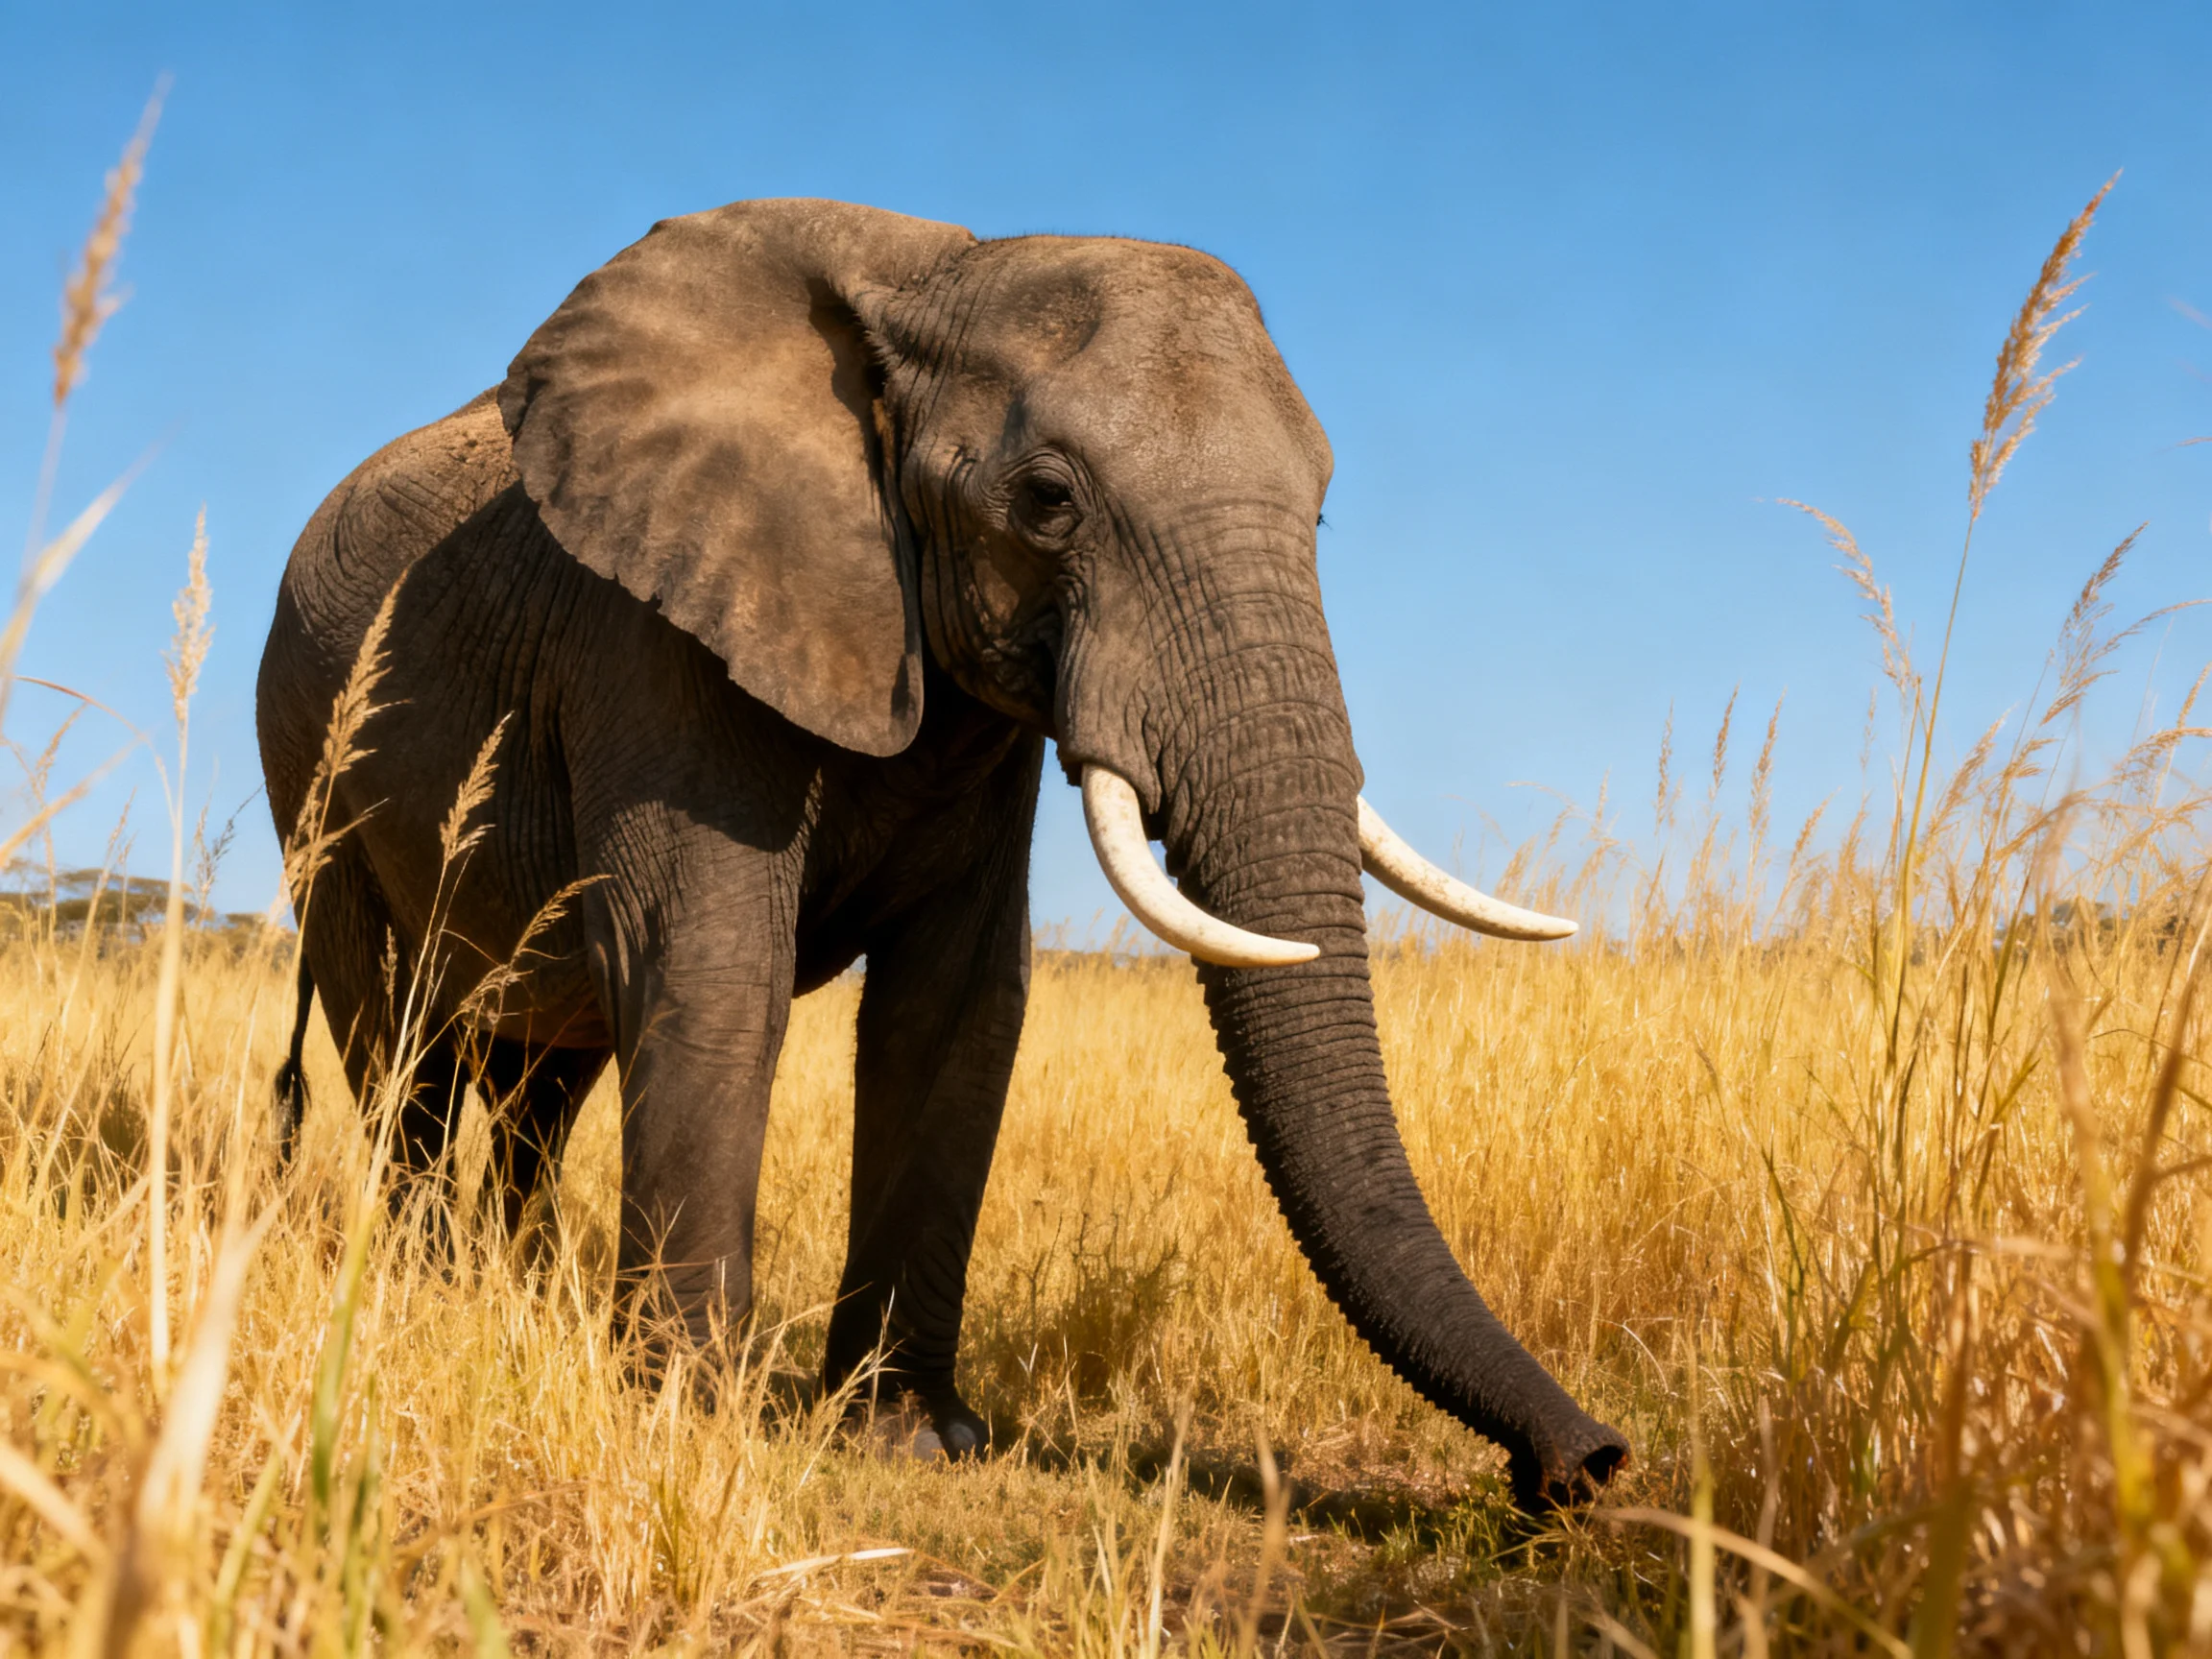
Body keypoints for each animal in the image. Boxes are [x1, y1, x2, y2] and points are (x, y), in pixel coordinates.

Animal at [255, 197, 1629, 1508]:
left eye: (1324, 507)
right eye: (1047, 501)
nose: (1580, 1470)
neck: (928, 282)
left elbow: (960, 1006)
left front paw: (910, 1438)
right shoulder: (652, 639)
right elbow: (712, 968)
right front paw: (693, 1413)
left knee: (541, 1077)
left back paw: (523, 1300)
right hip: (304, 743)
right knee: (400, 1044)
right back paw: (434, 1299)